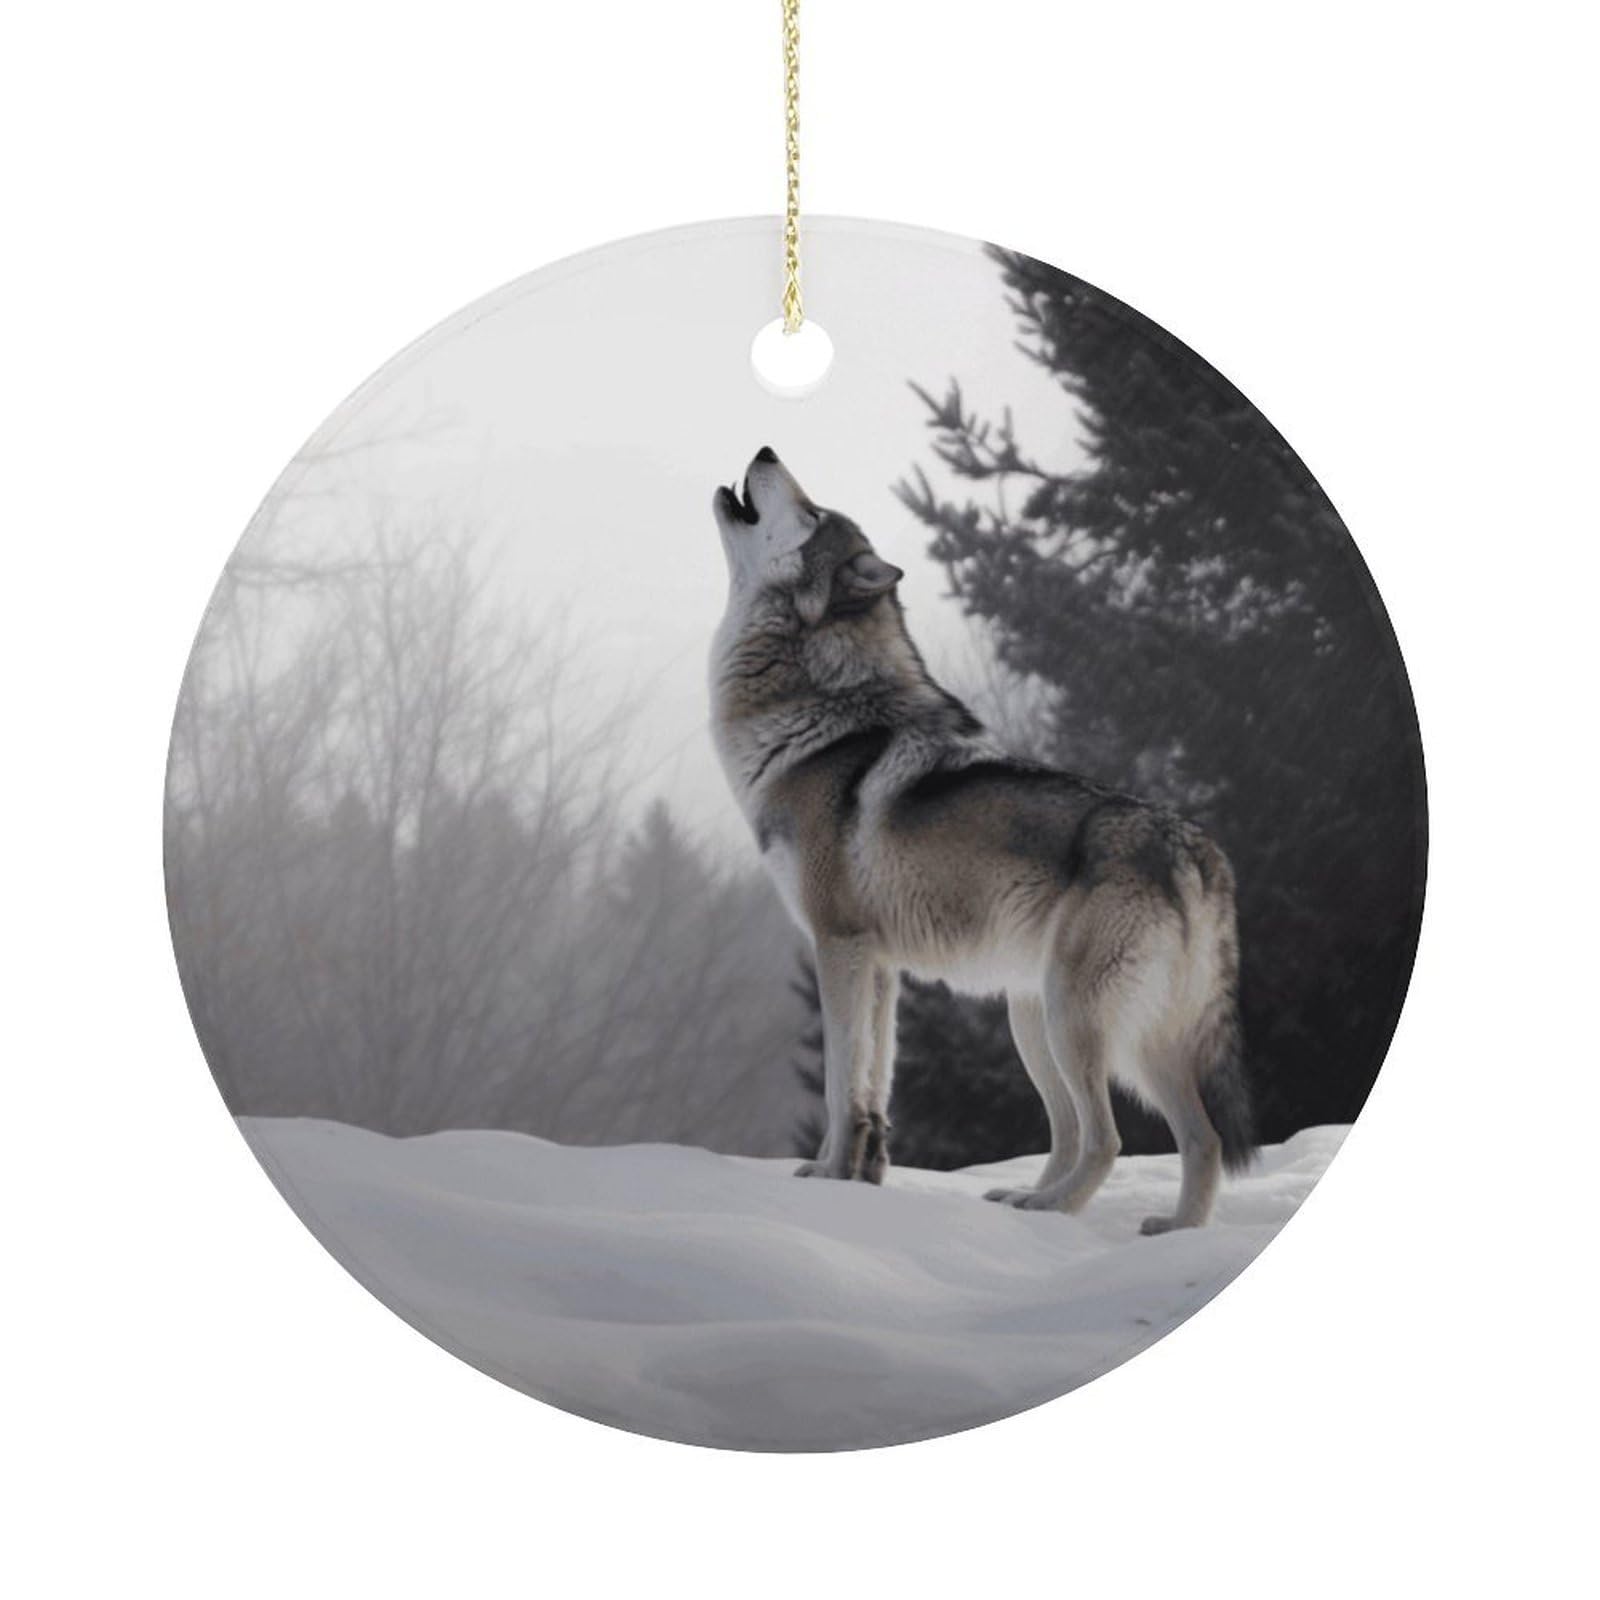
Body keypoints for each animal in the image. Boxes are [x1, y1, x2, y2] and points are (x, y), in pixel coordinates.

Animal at [710, 448, 1255, 1231]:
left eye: (811, 513)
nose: (764, 452)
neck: (820, 713)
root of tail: (1194, 847)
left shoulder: (838, 945)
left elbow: (842, 1081)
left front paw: (825, 1177)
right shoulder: (881, 965)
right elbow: (874, 1085)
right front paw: (861, 1178)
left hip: (1074, 1021)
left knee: (1107, 1138)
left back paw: (1054, 1211)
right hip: (1061, 1023)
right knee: (1183, 1137)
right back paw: (1151, 1227)